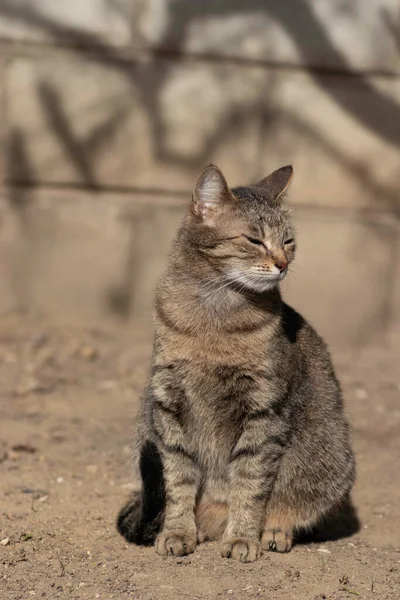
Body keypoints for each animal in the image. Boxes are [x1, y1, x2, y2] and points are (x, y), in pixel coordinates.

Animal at [117, 164, 354, 564]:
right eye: (254, 240)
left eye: (288, 241)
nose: (283, 264)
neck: (215, 313)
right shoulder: (168, 403)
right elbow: (178, 478)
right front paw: (178, 531)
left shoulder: (264, 410)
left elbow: (250, 480)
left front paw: (242, 536)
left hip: (332, 458)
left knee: (290, 507)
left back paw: (272, 531)